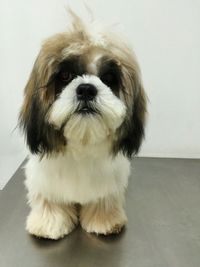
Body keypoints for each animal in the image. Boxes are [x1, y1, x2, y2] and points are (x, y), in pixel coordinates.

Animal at [18, 11, 146, 241]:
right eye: (65, 75)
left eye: (109, 77)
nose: (86, 89)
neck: (82, 145)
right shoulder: (44, 180)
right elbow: (49, 200)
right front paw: (49, 223)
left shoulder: (108, 185)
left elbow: (103, 200)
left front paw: (104, 220)